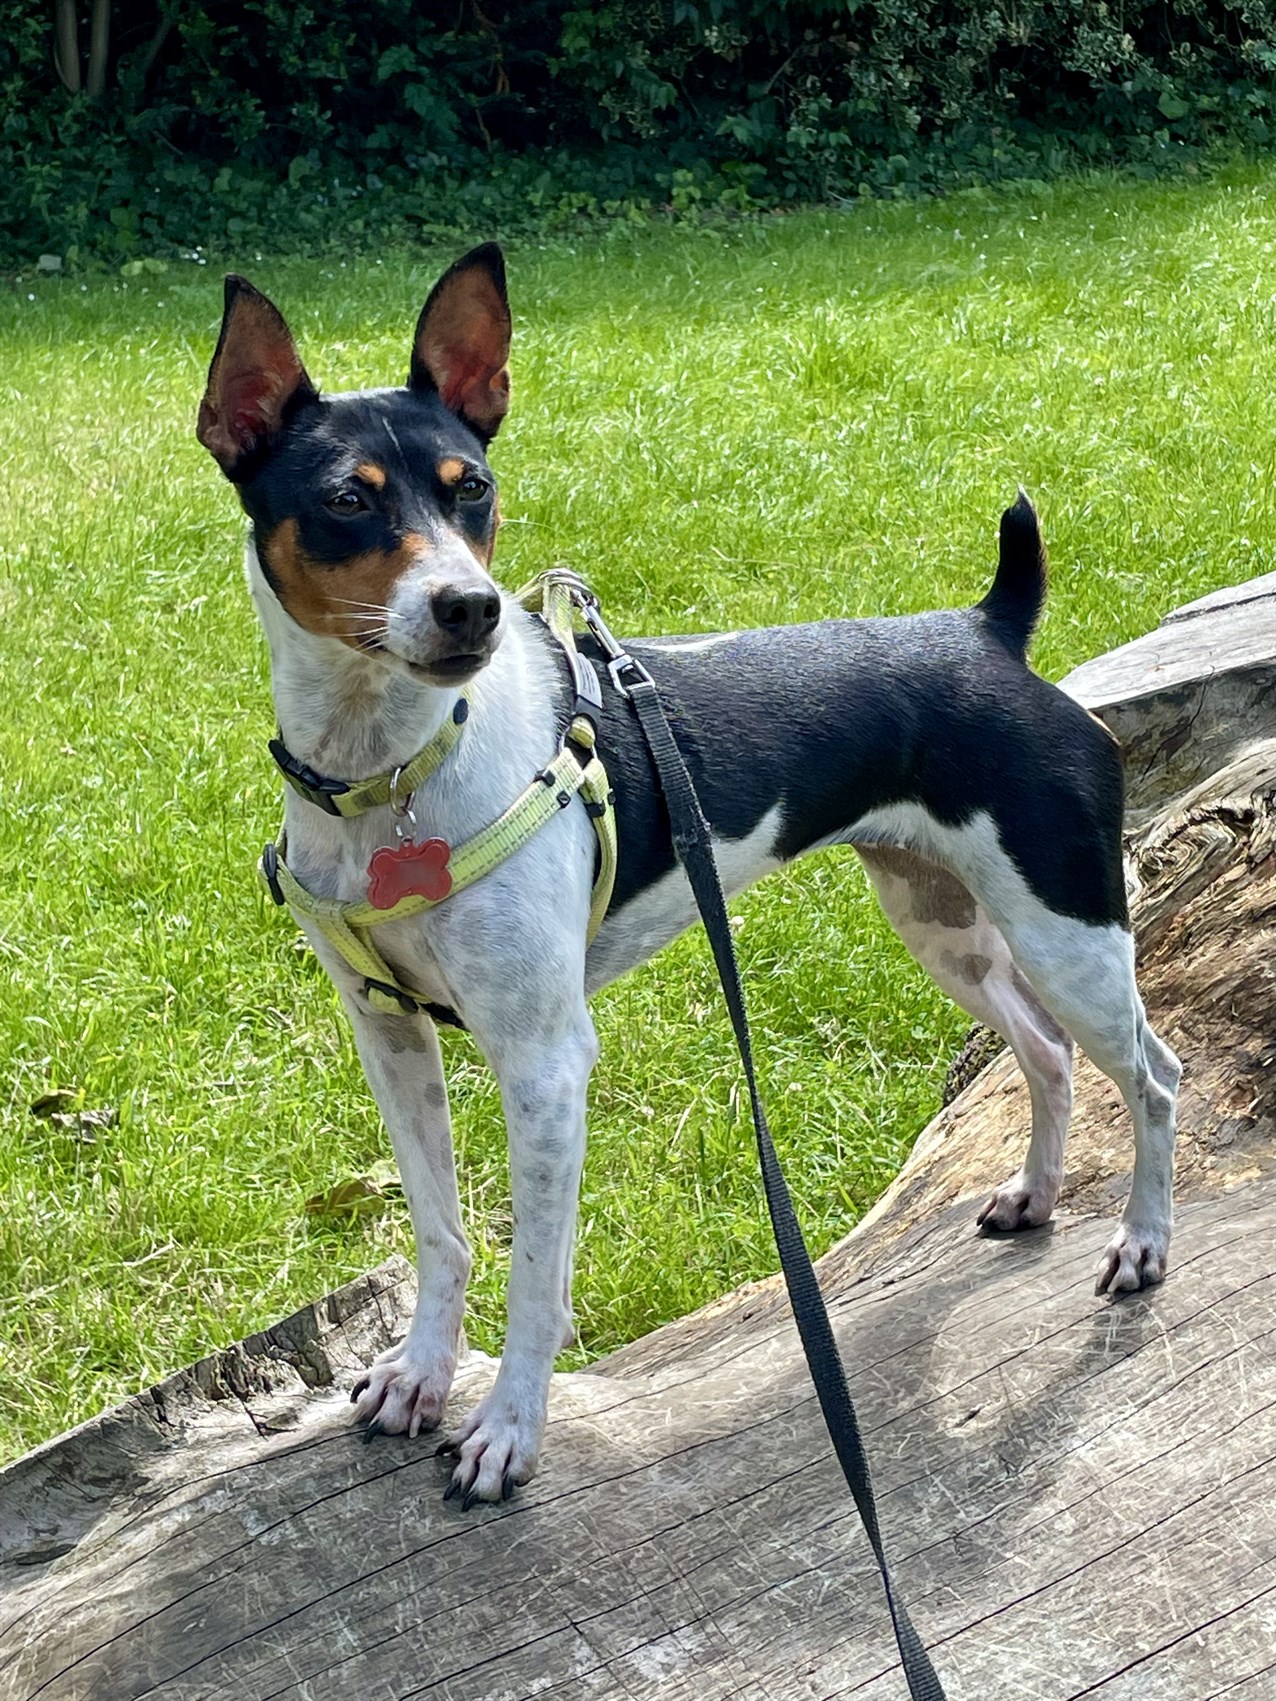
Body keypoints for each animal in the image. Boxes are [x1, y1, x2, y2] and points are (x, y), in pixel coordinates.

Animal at [199, 243, 1190, 1503]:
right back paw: (1036, 1195)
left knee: (1152, 1077)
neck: (397, 773)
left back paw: (1142, 1244)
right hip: (944, 923)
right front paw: (422, 1373)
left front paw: (506, 1429)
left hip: (1067, 928)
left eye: (472, 488)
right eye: (346, 499)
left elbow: (535, 1276)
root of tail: (984, 632)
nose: (470, 606)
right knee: (1045, 1052)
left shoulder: (543, 1062)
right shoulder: (390, 1036)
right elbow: (441, 1231)